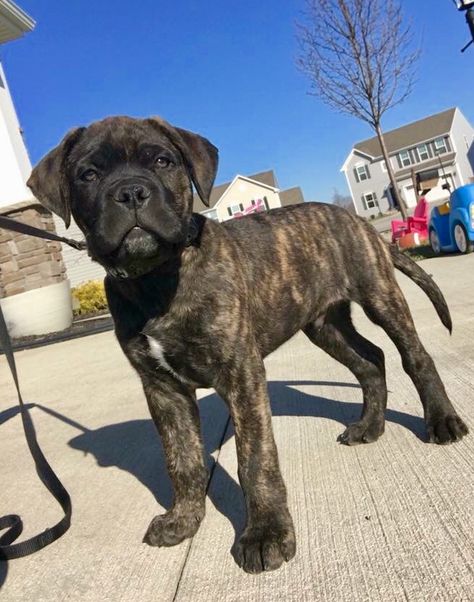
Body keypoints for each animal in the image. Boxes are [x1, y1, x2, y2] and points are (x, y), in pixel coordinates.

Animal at [27, 116, 468, 572]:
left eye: (163, 161)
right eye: (88, 175)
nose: (131, 192)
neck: (156, 279)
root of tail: (360, 222)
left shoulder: (240, 374)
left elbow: (254, 459)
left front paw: (266, 533)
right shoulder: (163, 390)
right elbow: (181, 459)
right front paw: (183, 519)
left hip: (380, 296)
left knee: (414, 356)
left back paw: (442, 421)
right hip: (324, 325)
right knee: (370, 360)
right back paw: (370, 426)